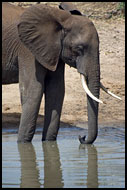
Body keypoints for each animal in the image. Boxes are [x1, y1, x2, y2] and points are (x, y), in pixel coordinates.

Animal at [1, 2, 121, 143]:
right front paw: (23, 144)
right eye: (79, 48)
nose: (81, 137)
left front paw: (48, 143)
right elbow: (33, 90)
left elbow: (56, 90)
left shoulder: (54, 51)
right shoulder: (27, 51)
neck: (60, 18)